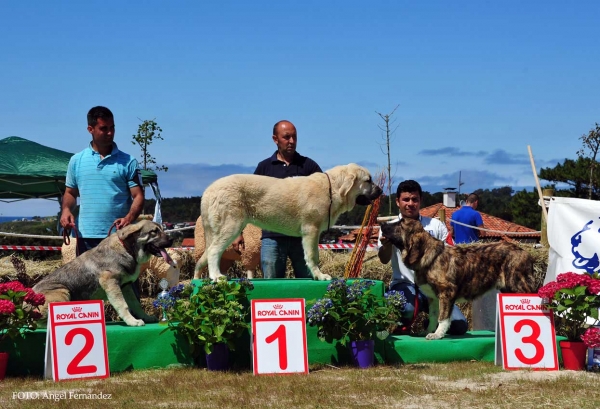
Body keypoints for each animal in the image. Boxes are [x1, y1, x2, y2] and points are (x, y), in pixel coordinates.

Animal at [198, 163, 384, 280]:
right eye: (368, 180)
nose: (381, 190)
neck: (332, 189)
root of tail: (208, 190)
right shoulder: (311, 230)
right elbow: (312, 256)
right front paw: (320, 276)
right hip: (231, 226)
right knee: (214, 251)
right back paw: (216, 277)